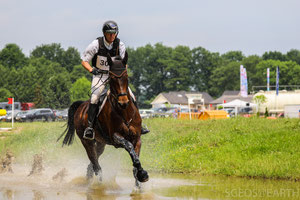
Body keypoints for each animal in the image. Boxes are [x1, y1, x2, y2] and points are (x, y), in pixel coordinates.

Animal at [58, 52, 148, 187]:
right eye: (111, 77)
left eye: (126, 75)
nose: (123, 102)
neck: (124, 113)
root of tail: (81, 106)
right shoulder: (116, 138)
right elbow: (129, 148)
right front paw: (142, 174)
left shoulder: (137, 138)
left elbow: (135, 160)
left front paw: (140, 180)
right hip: (87, 142)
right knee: (96, 165)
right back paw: (98, 185)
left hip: (101, 143)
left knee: (93, 162)